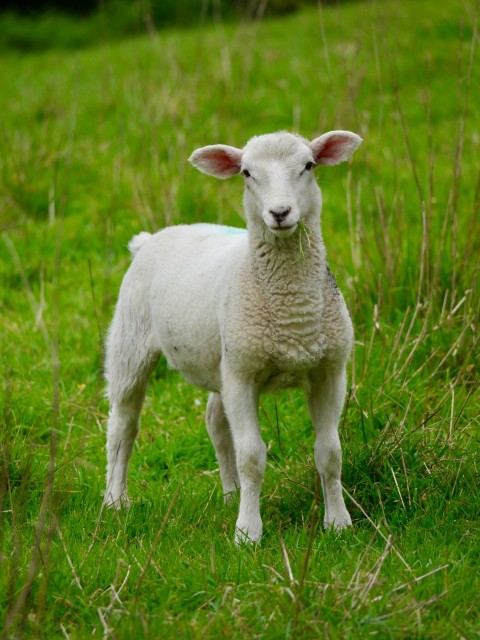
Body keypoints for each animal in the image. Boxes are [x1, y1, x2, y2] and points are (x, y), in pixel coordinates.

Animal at [104, 130, 360, 544]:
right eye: (246, 173)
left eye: (308, 166)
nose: (280, 213)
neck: (293, 315)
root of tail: (150, 238)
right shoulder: (243, 376)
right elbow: (252, 456)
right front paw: (248, 532)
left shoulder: (329, 372)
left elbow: (330, 453)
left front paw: (338, 522)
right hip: (131, 340)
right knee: (123, 425)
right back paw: (114, 499)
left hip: (221, 358)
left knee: (216, 422)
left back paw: (231, 493)